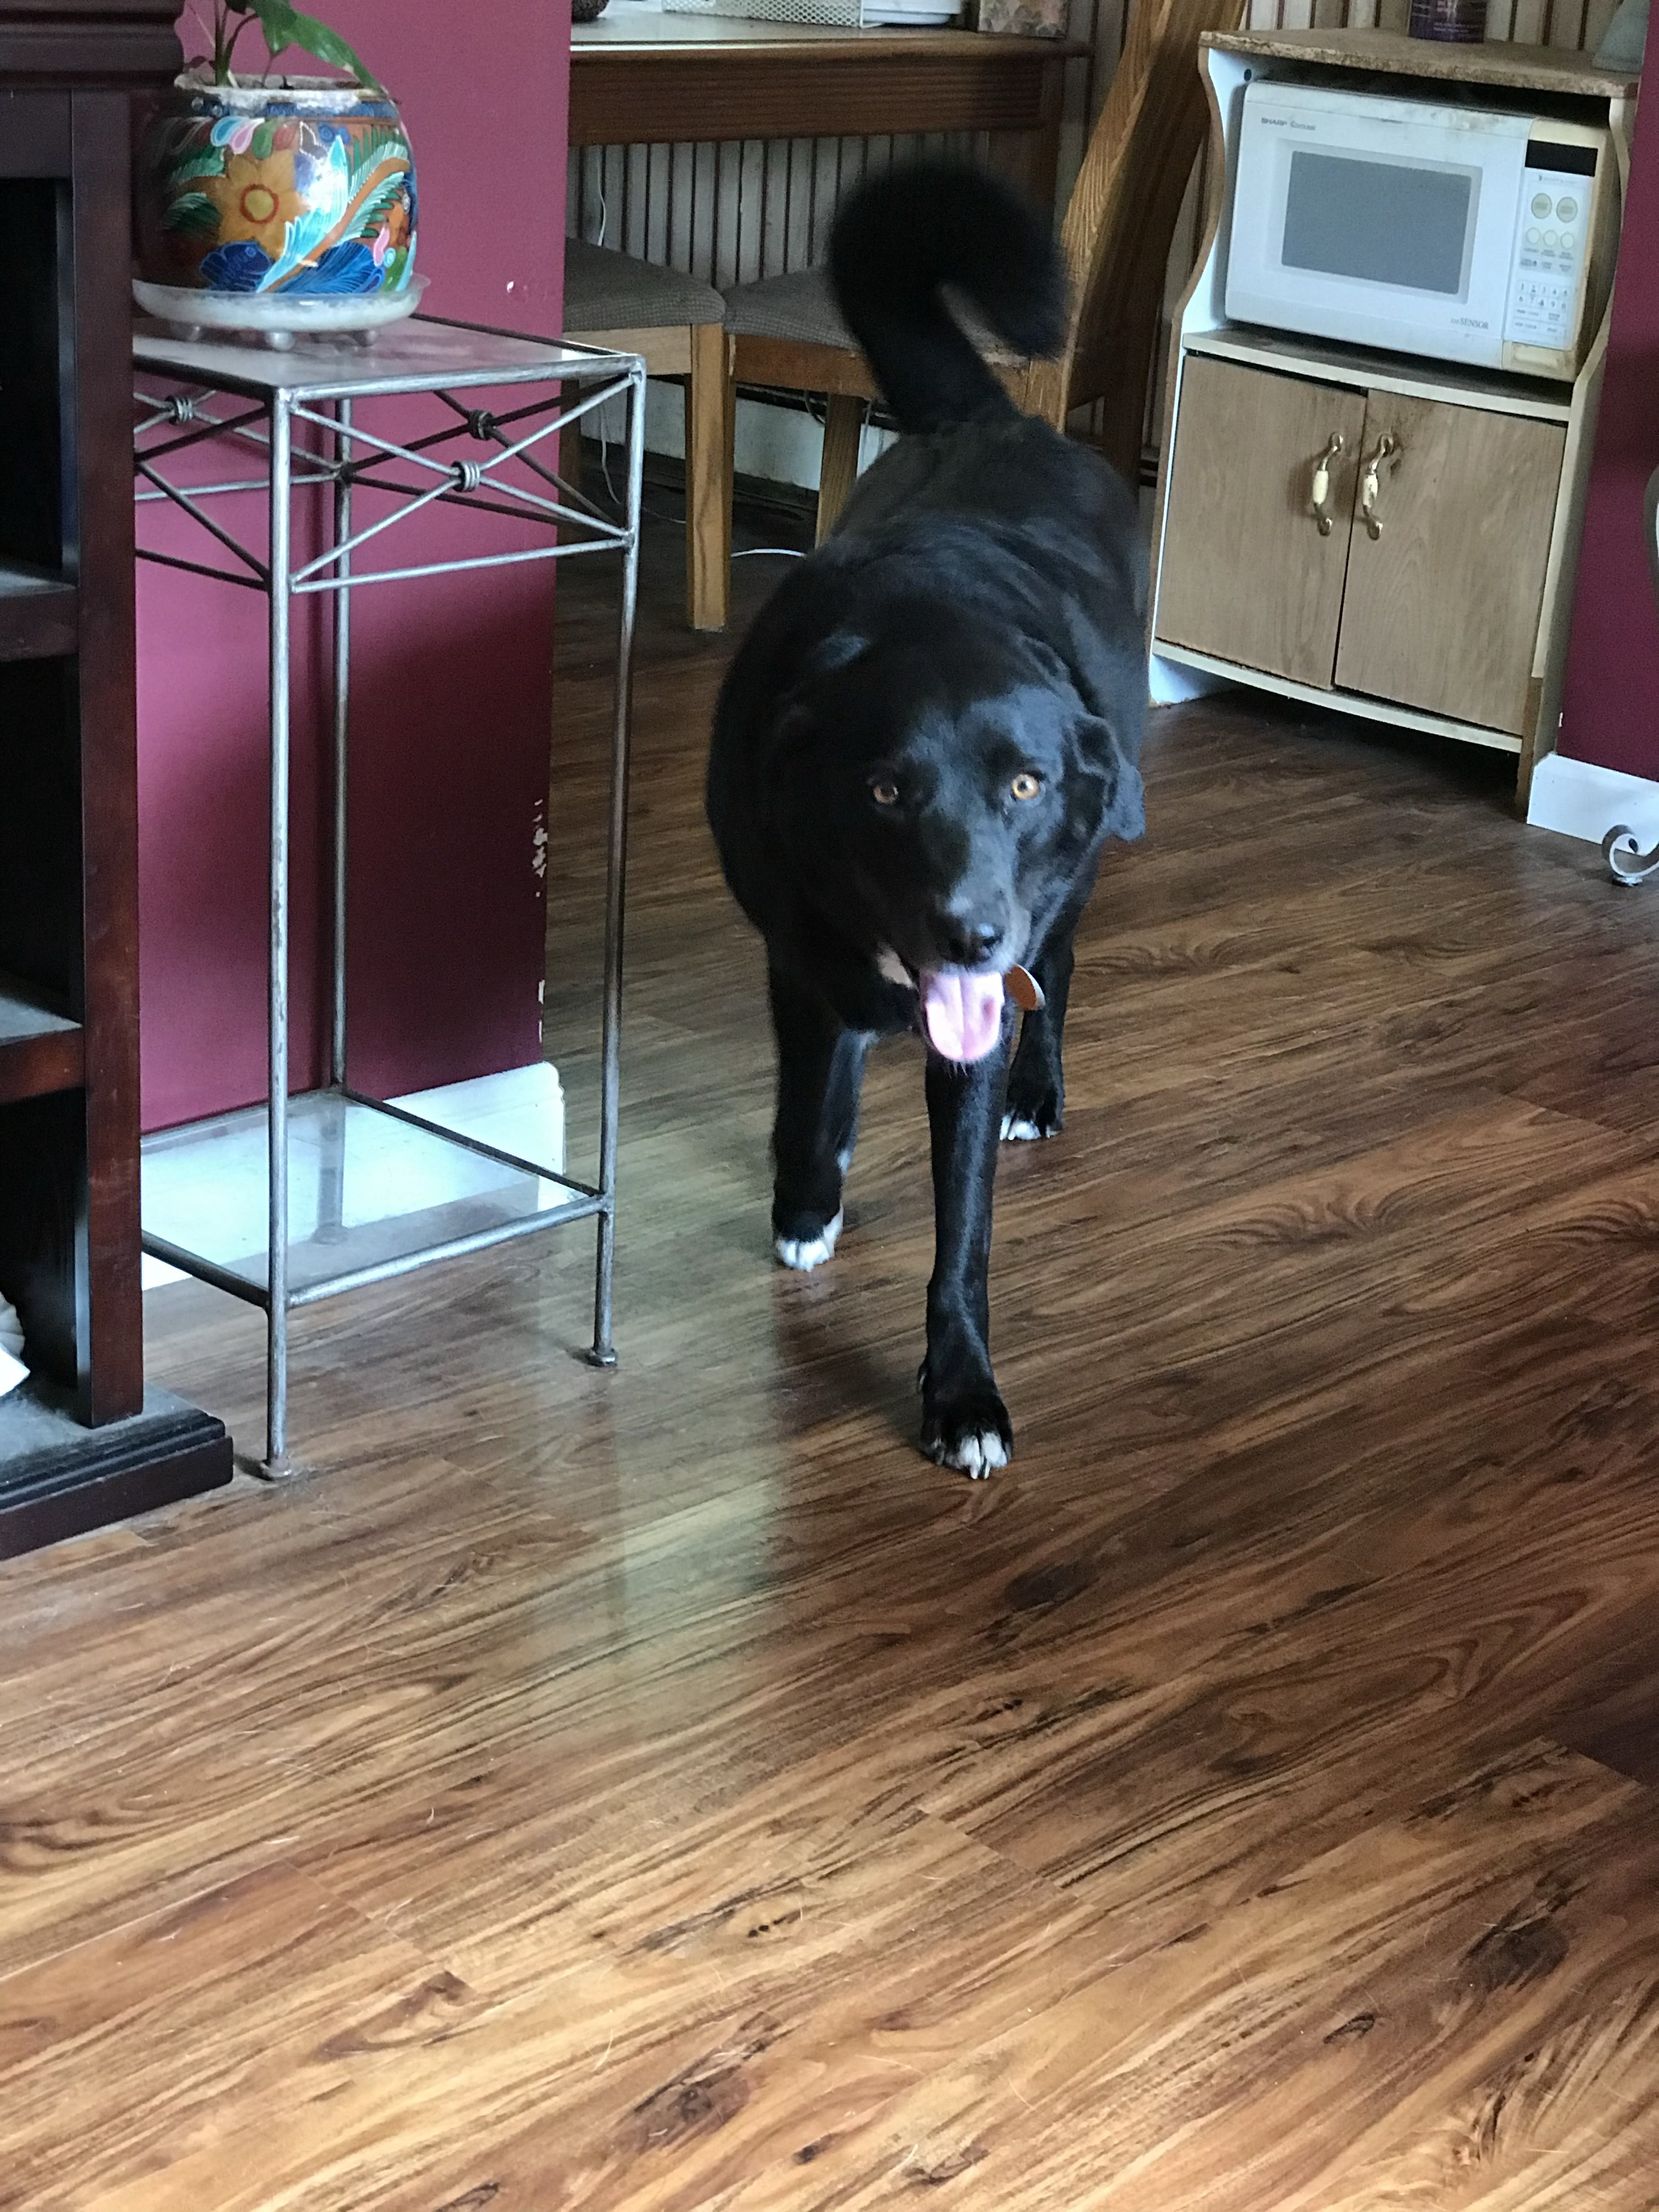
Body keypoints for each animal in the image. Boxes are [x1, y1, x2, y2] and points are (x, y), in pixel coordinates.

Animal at [708, 156, 1150, 1469]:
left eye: (1024, 785)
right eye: (885, 789)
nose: (969, 933)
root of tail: (994, 415)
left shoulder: (981, 1018)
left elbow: (964, 1236)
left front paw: (962, 1391)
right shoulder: (797, 959)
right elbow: (809, 1104)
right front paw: (808, 1201)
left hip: (1076, 881)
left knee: (1061, 968)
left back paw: (1040, 1090)